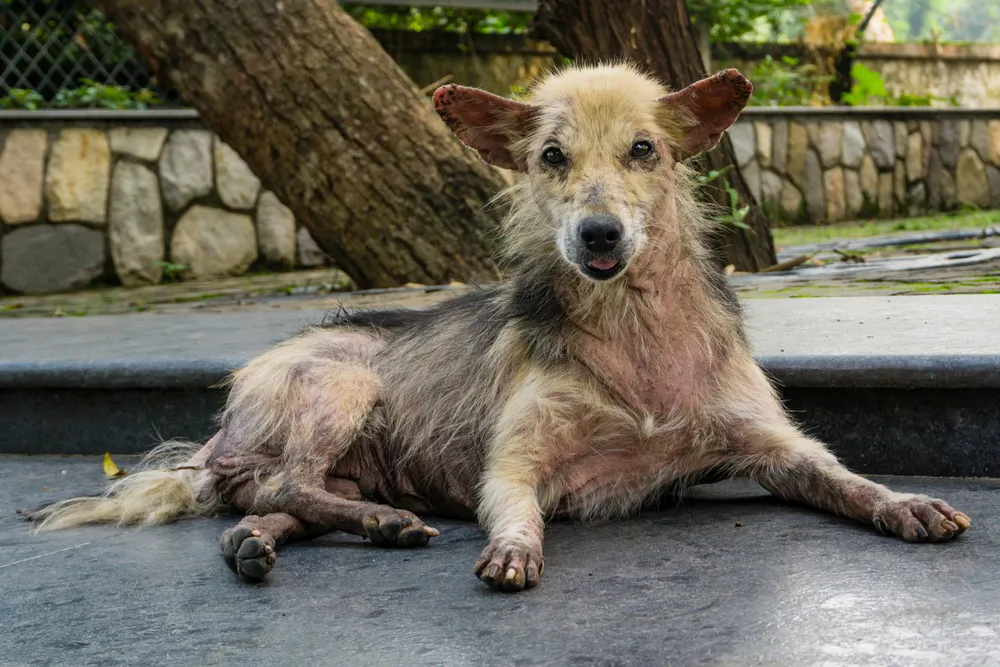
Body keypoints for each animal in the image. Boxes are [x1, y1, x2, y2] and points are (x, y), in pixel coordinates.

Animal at [23, 65, 972, 592]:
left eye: (645, 149)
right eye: (550, 157)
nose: (599, 235)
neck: (633, 332)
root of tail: (217, 436)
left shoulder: (775, 448)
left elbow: (846, 479)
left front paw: (905, 502)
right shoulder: (513, 462)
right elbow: (515, 506)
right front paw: (515, 546)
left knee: (266, 509)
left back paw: (277, 540)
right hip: (339, 380)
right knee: (288, 480)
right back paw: (373, 526)